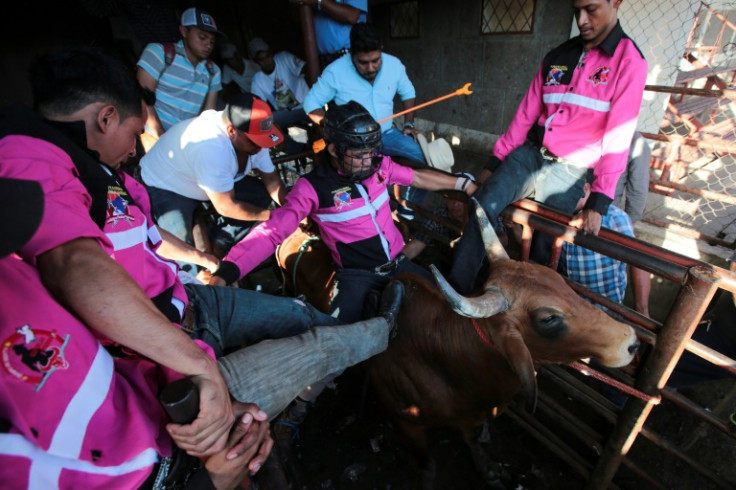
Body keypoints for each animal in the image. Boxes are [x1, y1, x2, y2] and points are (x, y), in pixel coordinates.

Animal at [276, 202, 640, 486]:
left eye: (561, 281)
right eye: (548, 319)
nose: (632, 342)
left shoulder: (472, 418)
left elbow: (475, 445)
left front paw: (489, 471)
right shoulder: (407, 424)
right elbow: (428, 467)